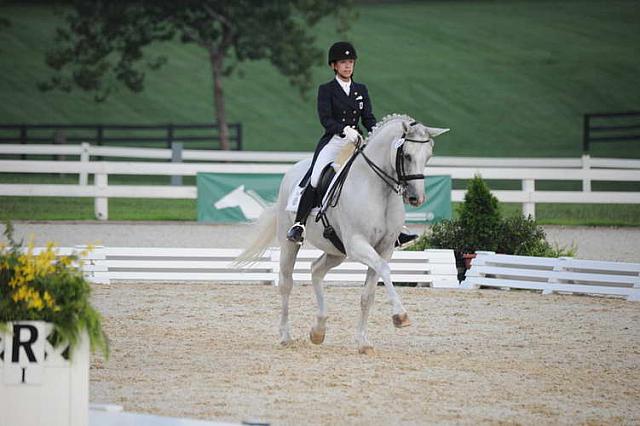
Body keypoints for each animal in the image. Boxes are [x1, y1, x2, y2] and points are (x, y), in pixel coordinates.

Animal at [236, 113, 450, 352]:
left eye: (429, 155)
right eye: (406, 155)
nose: (416, 198)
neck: (378, 189)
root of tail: (295, 169)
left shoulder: (384, 249)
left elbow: (368, 294)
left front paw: (363, 342)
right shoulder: (357, 244)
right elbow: (385, 270)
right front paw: (400, 316)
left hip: (336, 251)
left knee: (316, 270)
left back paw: (318, 330)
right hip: (290, 242)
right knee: (286, 283)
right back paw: (285, 336)